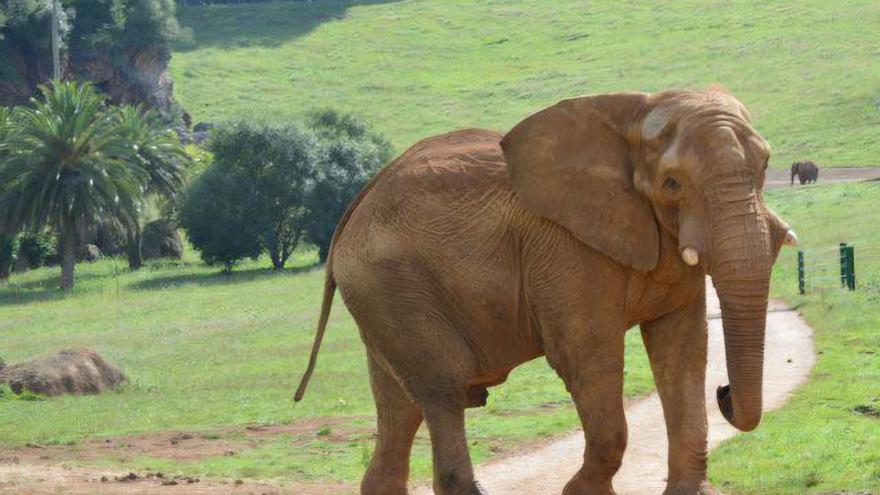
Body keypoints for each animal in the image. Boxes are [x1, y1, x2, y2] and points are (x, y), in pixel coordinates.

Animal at [294, 88, 798, 495]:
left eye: (764, 167)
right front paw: (579, 493)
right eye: (671, 184)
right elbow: (587, 355)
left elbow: (682, 350)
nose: (725, 392)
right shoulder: (565, 249)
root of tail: (353, 209)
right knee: (442, 390)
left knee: (399, 408)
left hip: (384, 296)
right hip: (392, 285)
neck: (633, 116)